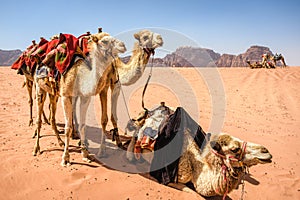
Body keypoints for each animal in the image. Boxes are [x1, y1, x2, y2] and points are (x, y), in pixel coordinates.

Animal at [32, 33, 126, 166]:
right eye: (105, 41)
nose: (123, 45)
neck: (80, 74)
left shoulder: (84, 97)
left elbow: (82, 125)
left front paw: (85, 154)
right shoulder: (66, 96)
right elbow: (68, 127)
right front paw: (65, 158)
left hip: (53, 94)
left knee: (52, 117)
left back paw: (60, 142)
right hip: (39, 88)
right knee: (39, 119)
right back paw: (36, 149)